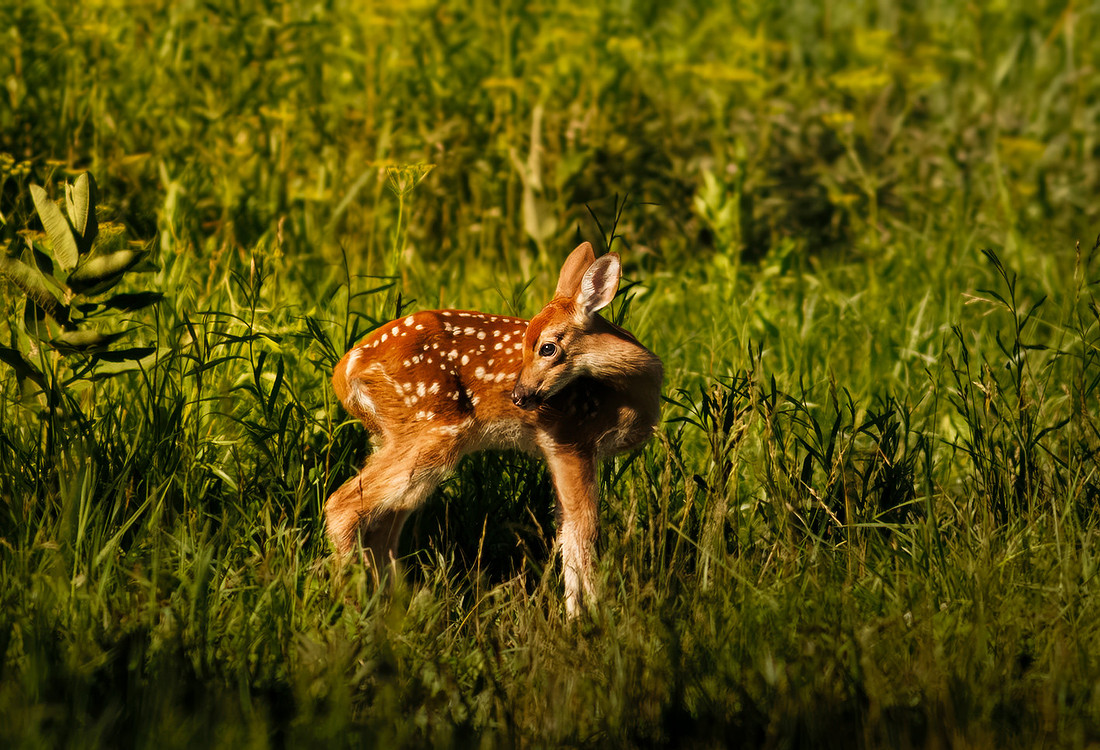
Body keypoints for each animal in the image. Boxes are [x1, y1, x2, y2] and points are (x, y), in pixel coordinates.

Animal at [325, 242, 663, 615]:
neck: (633, 391)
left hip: (392, 438)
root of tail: (344, 371)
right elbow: (583, 529)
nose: (519, 395)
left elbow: (565, 529)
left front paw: (576, 614)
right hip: (432, 431)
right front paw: (591, 616)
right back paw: (351, 604)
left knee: (382, 525)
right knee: (342, 505)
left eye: (547, 347)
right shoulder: (571, 439)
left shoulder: (562, 449)